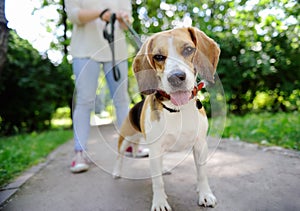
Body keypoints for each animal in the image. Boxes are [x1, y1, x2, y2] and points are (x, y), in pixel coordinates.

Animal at [112, 27, 220, 210]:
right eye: (158, 57)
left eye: (188, 49)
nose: (176, 77)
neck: (177, 109)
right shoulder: (155, 149)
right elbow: (157, 182)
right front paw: (160, 202)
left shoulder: (200, 145)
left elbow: (202, 173)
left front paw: (205, 194)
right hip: (126, 139)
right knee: (119, 156)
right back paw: (117, 172)